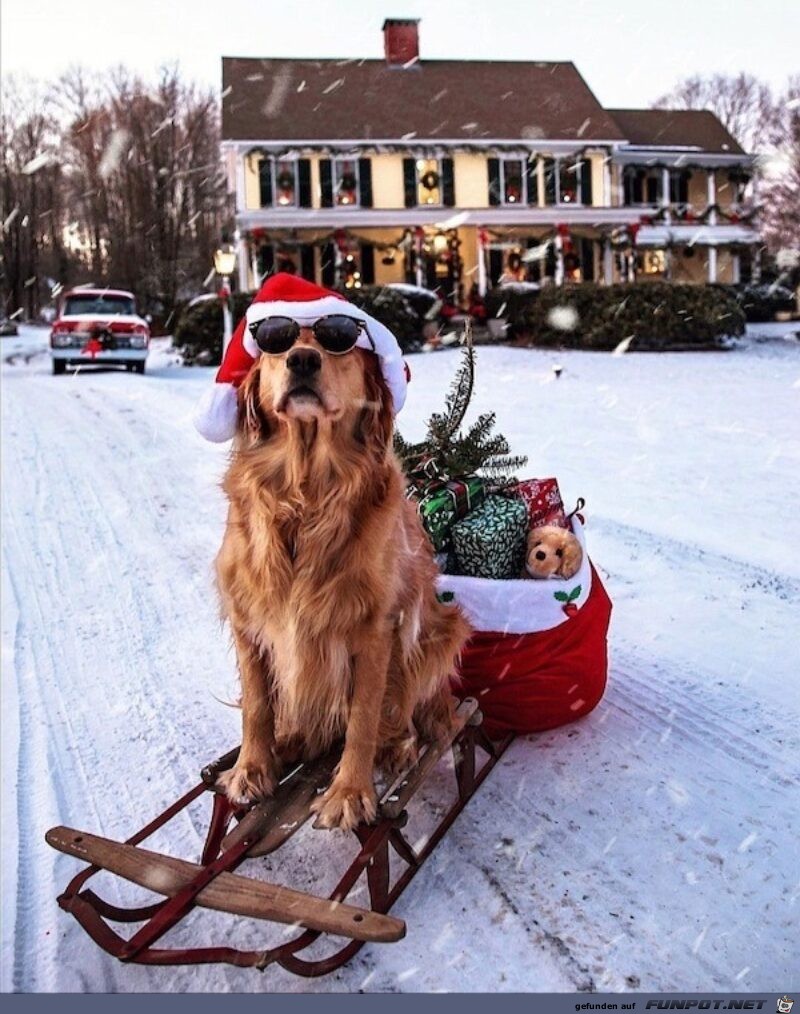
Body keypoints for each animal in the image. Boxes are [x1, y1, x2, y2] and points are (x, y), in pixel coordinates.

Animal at [214, 328, 470, 827]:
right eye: (275, 342)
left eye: (339, 343)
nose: (302, 360)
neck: (306, 498)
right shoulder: (247, 618)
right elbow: (257, 706)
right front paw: (251, 770)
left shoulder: (374, 629)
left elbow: (363, 717)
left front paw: (350, 793)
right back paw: (290, 740)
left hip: (443, 631)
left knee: (408, 713)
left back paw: (398, 746)